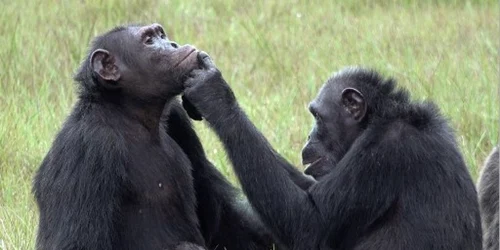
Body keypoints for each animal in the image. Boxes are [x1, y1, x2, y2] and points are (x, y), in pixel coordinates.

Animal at [32, 23, 274, 250]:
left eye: (161, 35)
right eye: (149, 40)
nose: (172, 44)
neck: (131, 114)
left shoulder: (177, 118)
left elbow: (221, 217)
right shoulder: (88, 148)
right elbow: (77, 242)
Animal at [184, 55, 484, 250]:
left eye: (317, 116)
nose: (309, 135)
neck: (378, 119)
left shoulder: (384, 152)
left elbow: (310, 222)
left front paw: (214, 94)